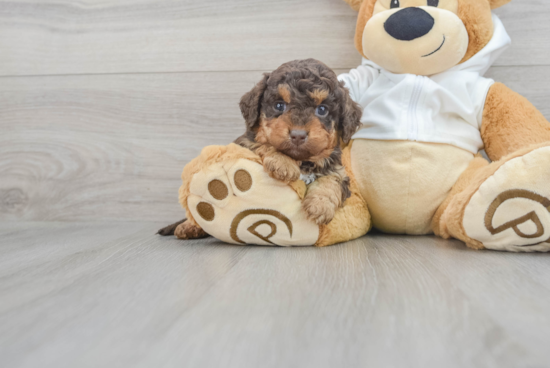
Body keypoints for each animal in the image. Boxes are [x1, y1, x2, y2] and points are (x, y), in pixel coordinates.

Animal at [157, 59, 364, 239]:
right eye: (279, 105)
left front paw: (320, 206)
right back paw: (188, 226)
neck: (301, 161)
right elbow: (263, 143)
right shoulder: (245, 143)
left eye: (322, 110)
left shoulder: (338, 170)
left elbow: (331, 181)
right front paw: (283, 163)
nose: (298, 134)